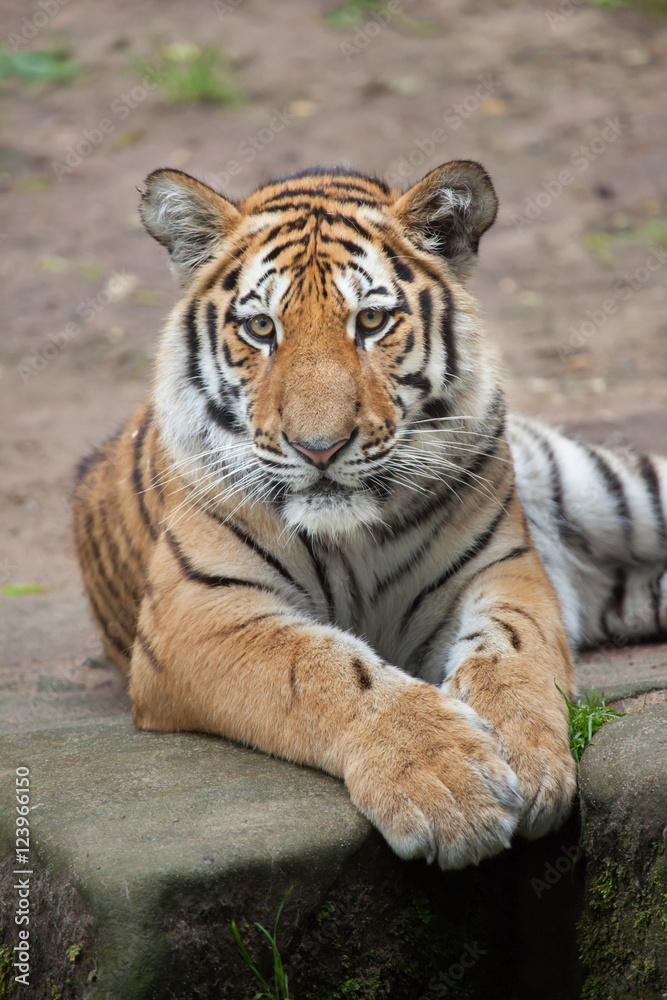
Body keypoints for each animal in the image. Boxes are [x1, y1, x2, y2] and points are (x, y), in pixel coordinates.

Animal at [72, 160, 667, 870]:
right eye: (261, 329)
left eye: (373, 321)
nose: (318, 447)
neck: (351, 536)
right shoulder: (199, 614)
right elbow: (320, 669)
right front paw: (448, 783)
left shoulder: (504, 569)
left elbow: (512, 655)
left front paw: (527, 759)